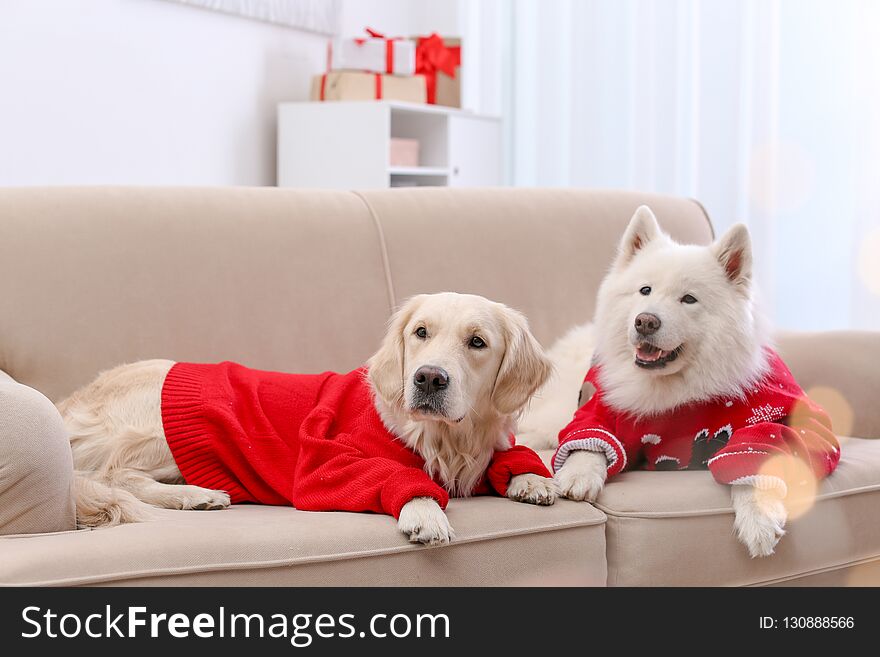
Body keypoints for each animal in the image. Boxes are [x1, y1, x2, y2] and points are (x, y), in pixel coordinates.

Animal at [62, 292, 556, 544]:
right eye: (421, 332)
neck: (445, 438)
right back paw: (196, 495)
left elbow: (508, 458)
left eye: (477, 342)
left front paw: (531, 478)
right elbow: (394, 477)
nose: (429, 378)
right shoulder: (322, 465)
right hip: (160, 427)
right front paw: (426, 512)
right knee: (114, 475)